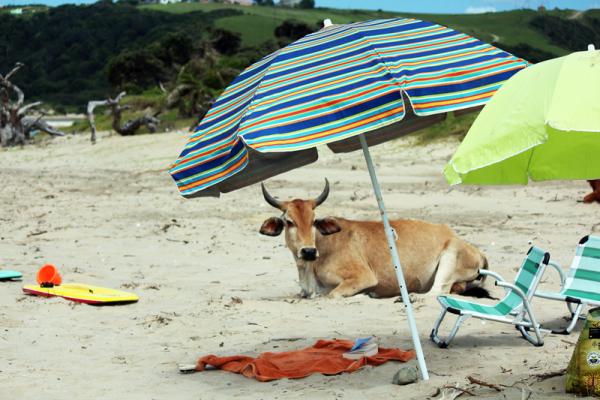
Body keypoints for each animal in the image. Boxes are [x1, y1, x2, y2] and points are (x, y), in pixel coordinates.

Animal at [260, 180, 490, 298]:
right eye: (289, 221)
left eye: (314, 220)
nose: (308, 251)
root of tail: (477, 251)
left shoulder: (363, 277)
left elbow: (332, 294)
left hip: (450, 256)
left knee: (437, 292)